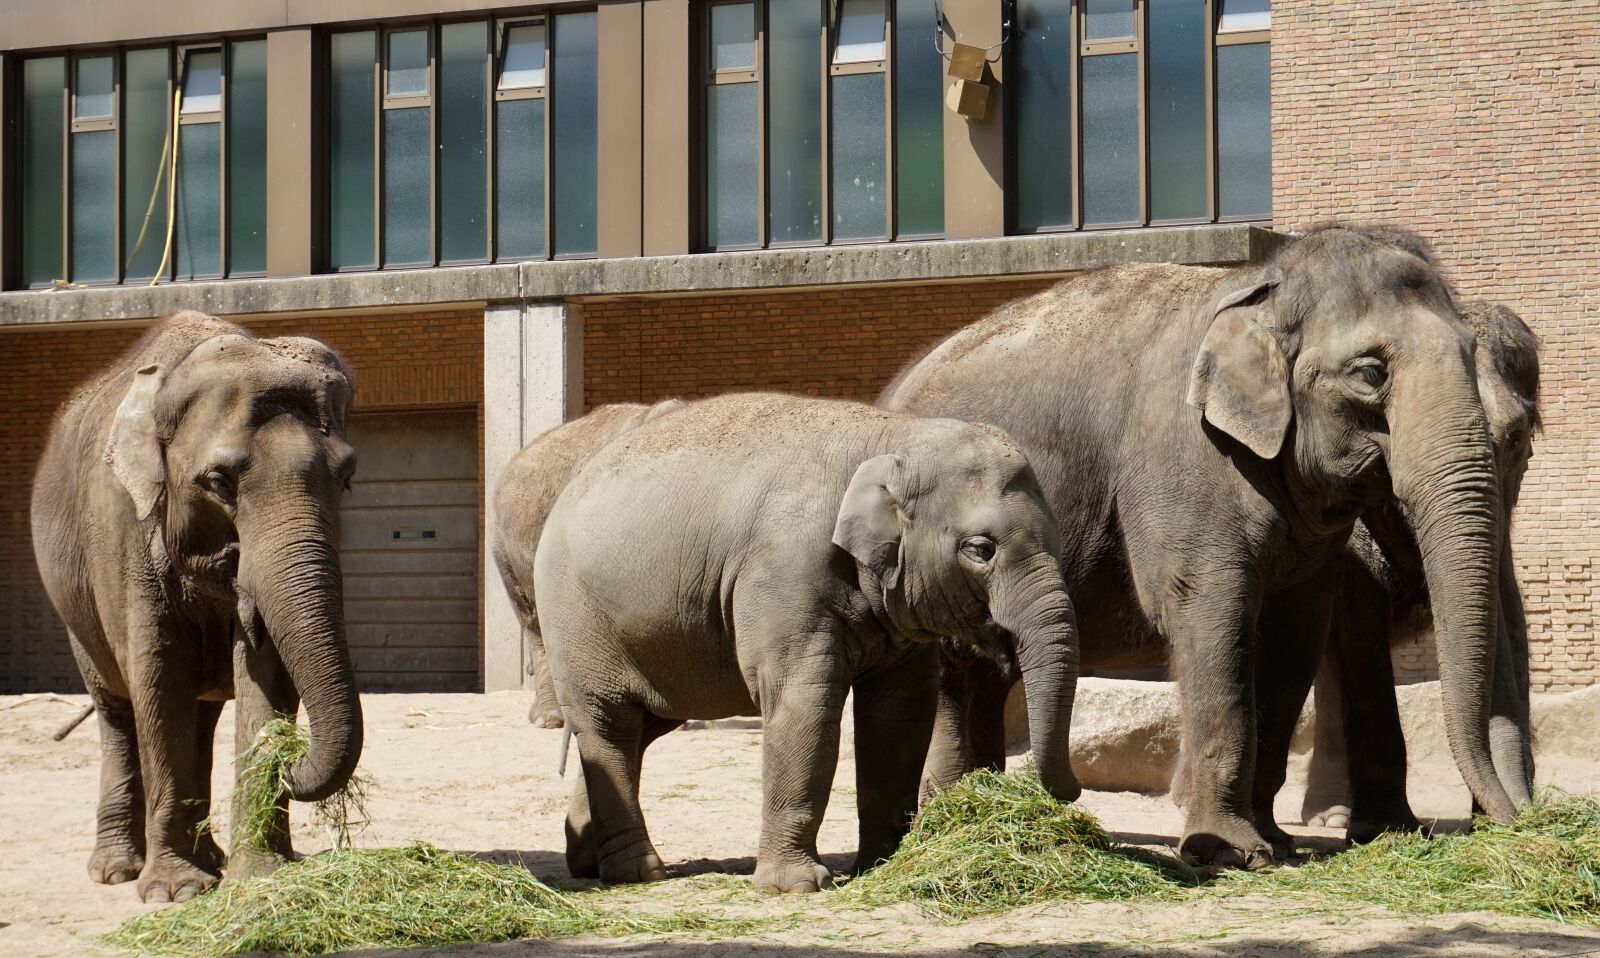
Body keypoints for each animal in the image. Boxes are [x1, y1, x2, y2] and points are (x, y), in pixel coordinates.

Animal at [30, 311, 363, 902]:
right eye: (217, 482)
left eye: (346, 479)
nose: (288, 758)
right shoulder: (122, 526)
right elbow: (159, 675)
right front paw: (175, 892)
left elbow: (265, 673)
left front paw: (261, 878)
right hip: (73, 607)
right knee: (117, 710)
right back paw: (117, 870)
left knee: (201, 717)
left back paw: (211, 858)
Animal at [532, 392, 1081, 891]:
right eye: (981, 549)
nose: (1069, 794)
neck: (892, 436)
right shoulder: (784, 574)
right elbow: (805, 706)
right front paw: (796, 885)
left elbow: (901, 713)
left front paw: (881, 865)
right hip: (576, 618)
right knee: (609, 722)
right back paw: (639, 874)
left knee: (643, 725)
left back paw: (588, 861)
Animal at [1299, 299, 1541, 837]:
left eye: (1515, 437)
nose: (1516, 817)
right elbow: (1358, 620)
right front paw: (1387, 826)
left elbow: (1509, 620)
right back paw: (1330, 817)